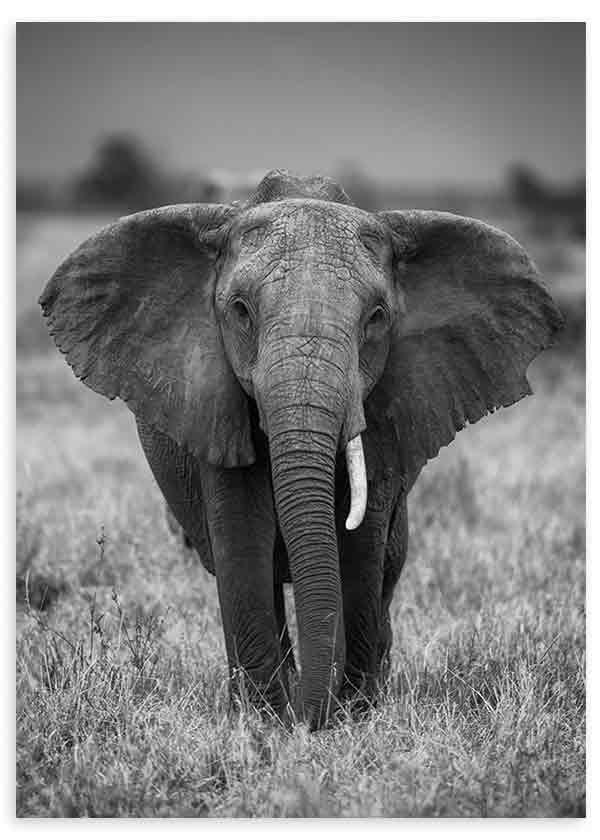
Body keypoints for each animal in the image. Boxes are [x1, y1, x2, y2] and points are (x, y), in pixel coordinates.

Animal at [40, 169, 563, 729]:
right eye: (241, 312)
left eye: (376, 317)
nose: (310, 720)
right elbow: (241, 536)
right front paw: (264, 721)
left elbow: (359, 545)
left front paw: (350, 715)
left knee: (388, 566)